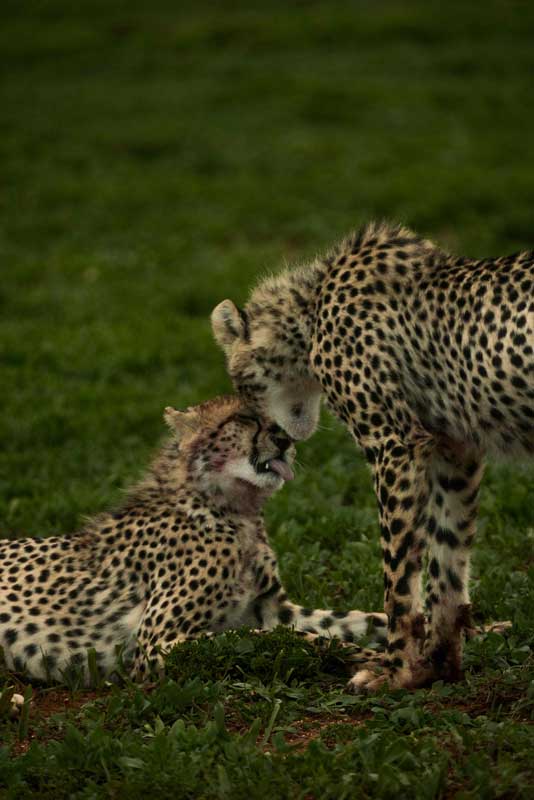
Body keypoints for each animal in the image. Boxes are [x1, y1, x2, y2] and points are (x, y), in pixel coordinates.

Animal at [0, 395, 390, 690]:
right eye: (245, 418)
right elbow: (290, 638)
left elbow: (357, 621)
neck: (236, 512)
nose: (286, 441)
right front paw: (377, 663)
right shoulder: (155, 645)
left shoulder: (276, 609)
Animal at [211, 221, 530, 693]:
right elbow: (447, 564)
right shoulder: (455, 450)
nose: (272, 435)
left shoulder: (393, 445)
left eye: (242, 387)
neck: (309, 311)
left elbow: (399, 576)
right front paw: (438, 664)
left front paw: (399, 671)